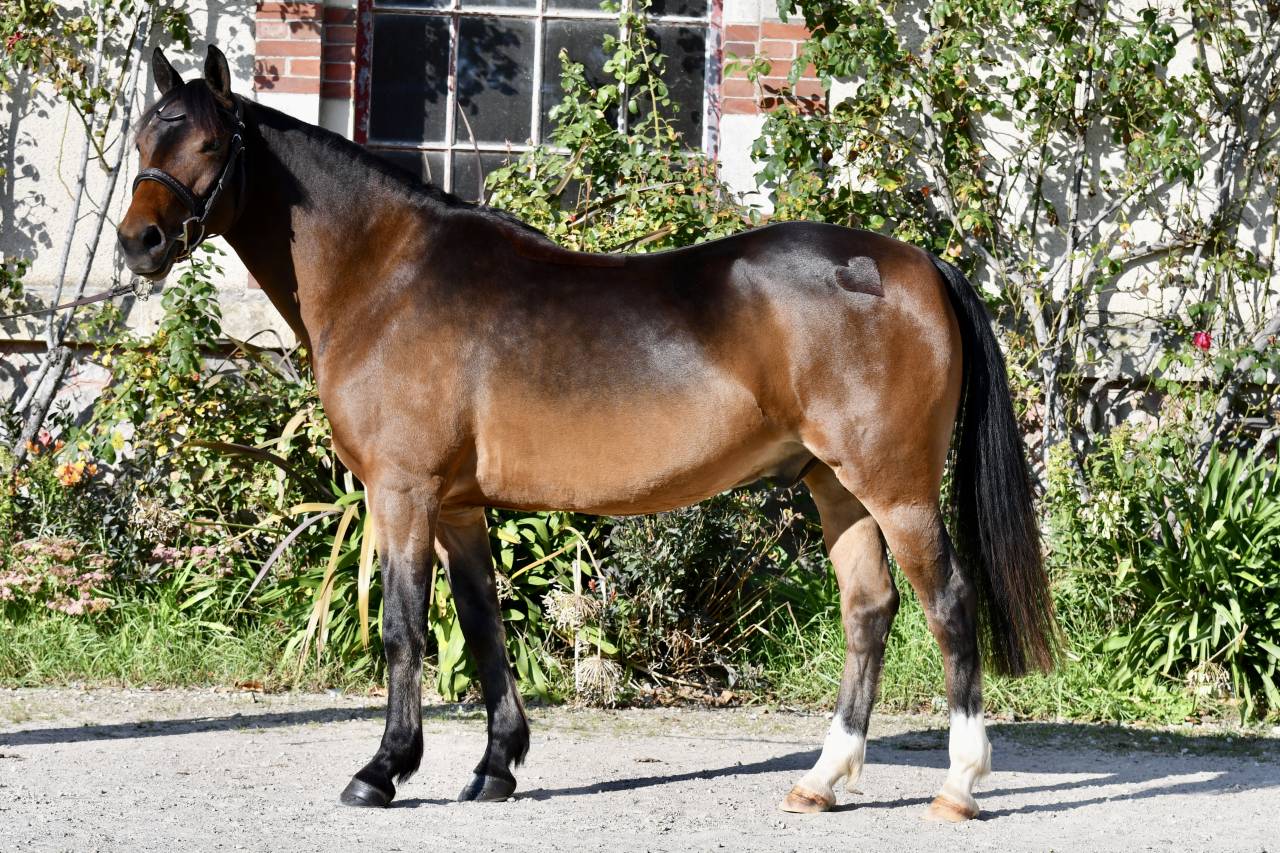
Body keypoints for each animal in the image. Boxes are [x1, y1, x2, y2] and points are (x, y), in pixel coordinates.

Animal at [117, 45, 1057, 822]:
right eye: (141, 139)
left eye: (210, 144)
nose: (139, 243)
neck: (387, 276)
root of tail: (919, 263)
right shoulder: (457, 503)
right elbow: (482, 624)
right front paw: (495, 766)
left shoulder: (403, 489)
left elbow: (403, 626)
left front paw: (382, 770)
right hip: (836, 486)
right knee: (869, 608)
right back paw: (822, 780)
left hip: (893, 484)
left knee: (948, 601)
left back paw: (959, 783)